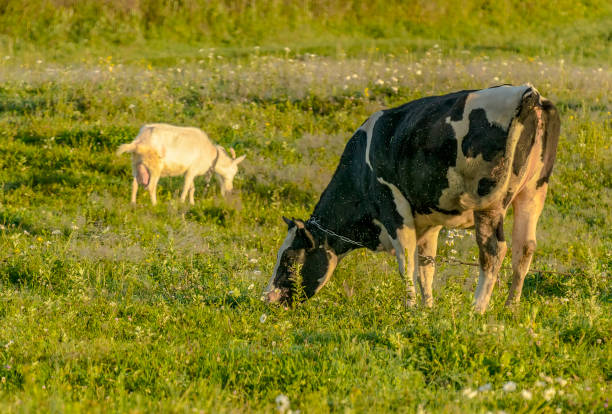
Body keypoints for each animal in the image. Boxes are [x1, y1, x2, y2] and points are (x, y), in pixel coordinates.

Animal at [262, 84, 560, 312]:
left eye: (289, 259)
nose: (267, 298)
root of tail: (529, 93)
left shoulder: (392, 206)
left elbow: (405, 263)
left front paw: (410, 308)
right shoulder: (429, 221)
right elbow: (426, 265)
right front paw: (428, 307)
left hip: (490, 202)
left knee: (494, 251)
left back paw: (477, 310)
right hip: (533, 192)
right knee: (525, 248)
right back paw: (511, 308)